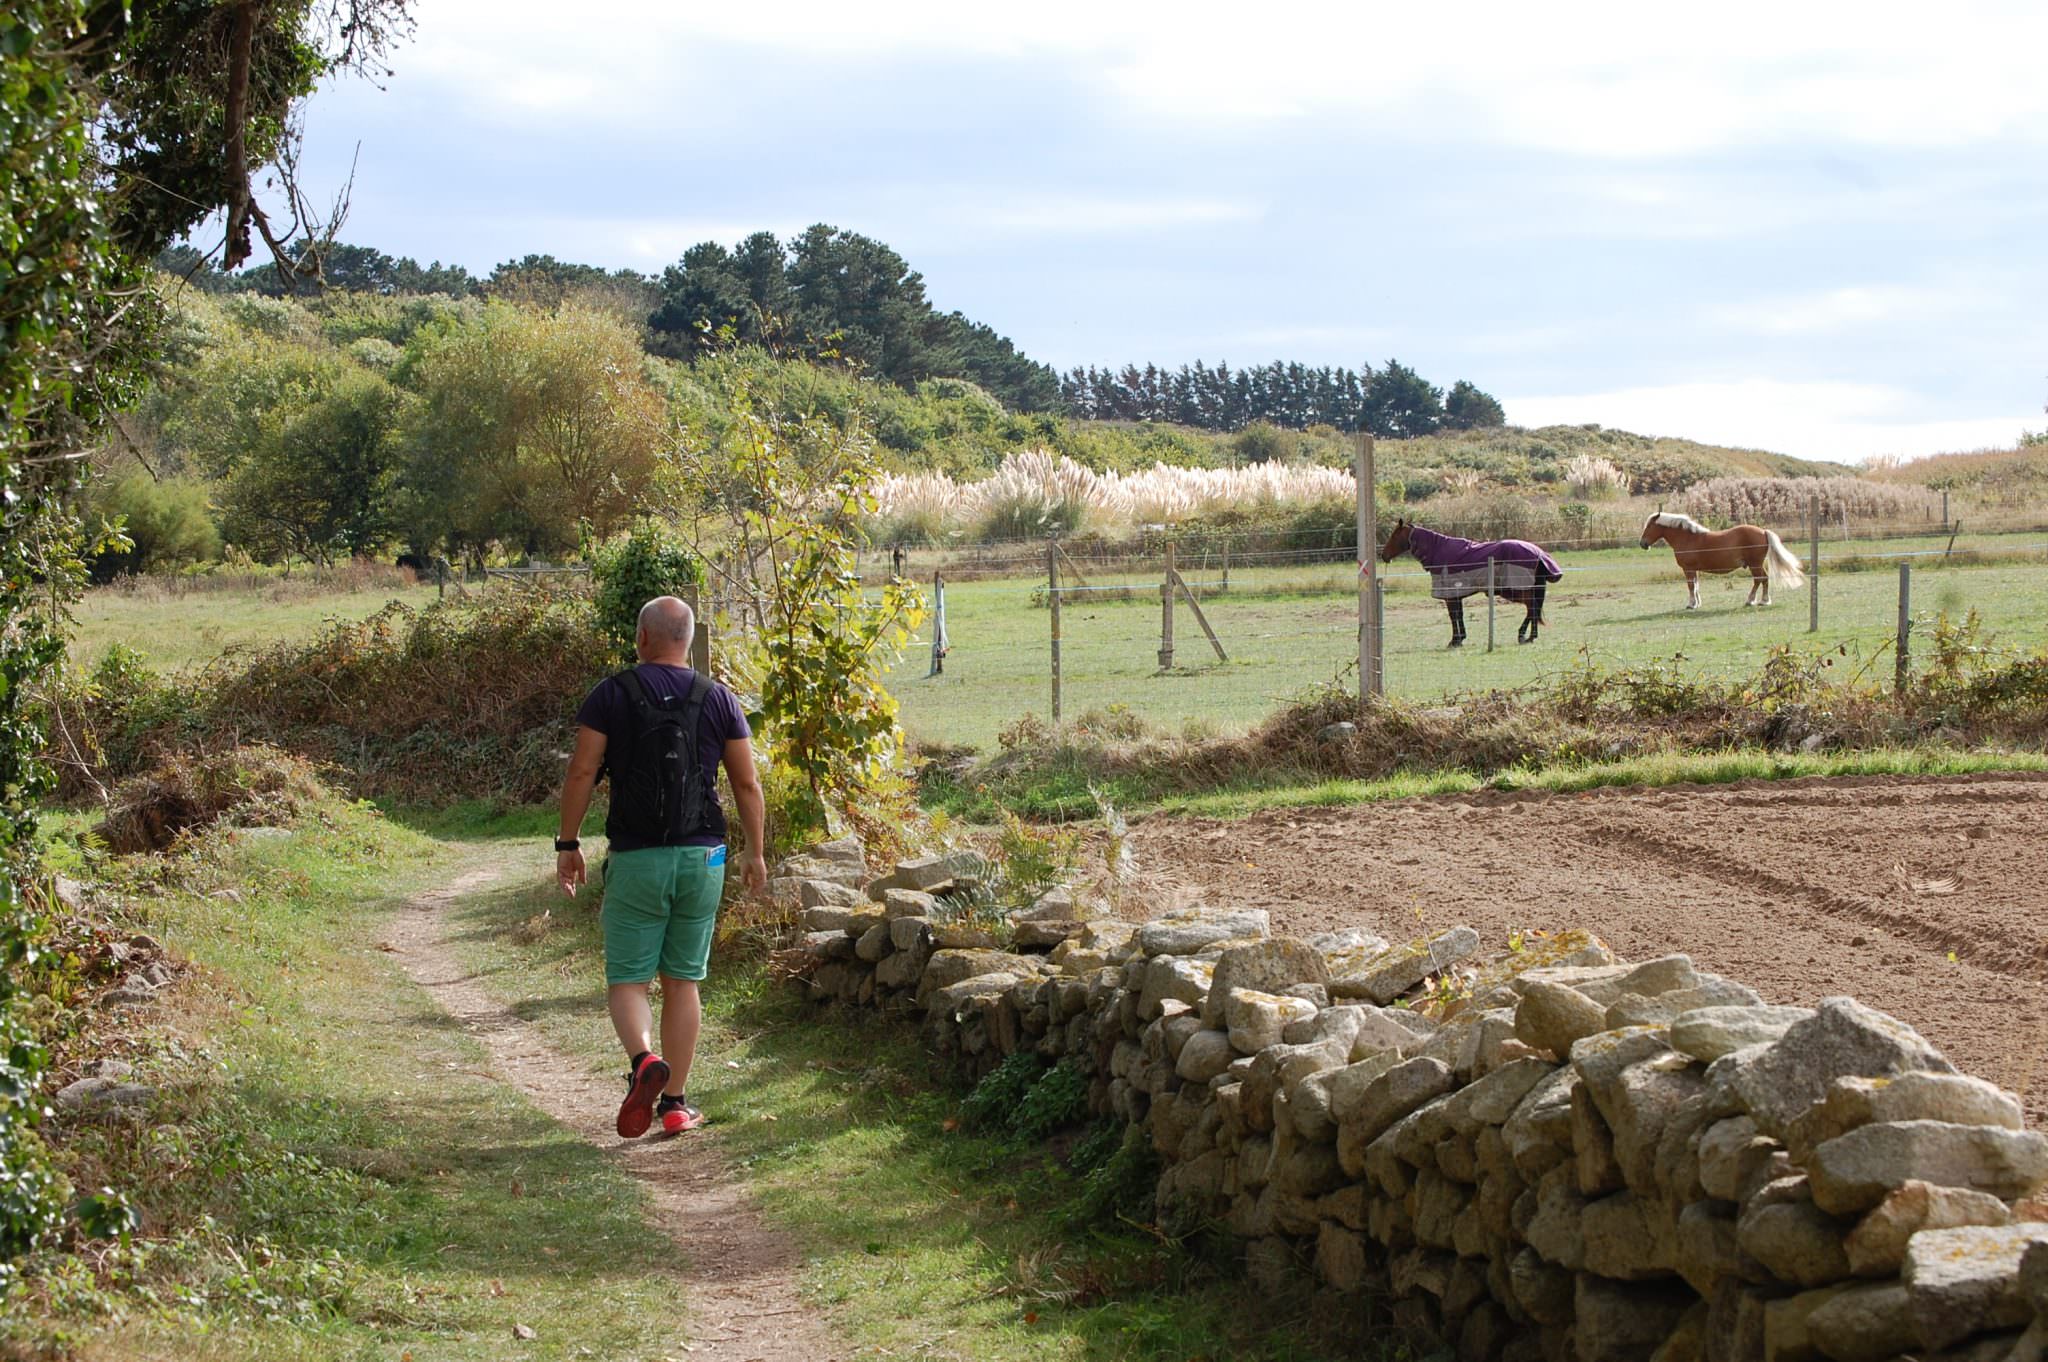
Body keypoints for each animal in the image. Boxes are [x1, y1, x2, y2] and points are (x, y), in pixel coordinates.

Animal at [1384, 520, 1556, 647]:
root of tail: (1538, 553)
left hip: (1519, 589)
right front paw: (1460, 638)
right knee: (1532, 609)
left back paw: (1527, 636)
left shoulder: (1450, 596)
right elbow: (1458, 614)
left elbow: (1453, 615)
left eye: (1394, 536)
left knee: (1532, 608)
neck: (1440, 550)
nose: (1383, 555)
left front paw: (1454, 641)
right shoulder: (1455, 595)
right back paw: (1527, 636)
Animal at [1638, 512, 1802, 606]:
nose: (1642, 544)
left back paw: (1757, 601)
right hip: (1755, 565)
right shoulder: (1694, 569)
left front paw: (1691, 604)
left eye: (1649, 526)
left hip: (1754, 564)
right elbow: (1696, 586)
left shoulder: (1688, 569)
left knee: (1760, 579)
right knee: (1761, 580)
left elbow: (1690, 586)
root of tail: (1763, 531)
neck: (1687, 538)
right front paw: (1697, 603)